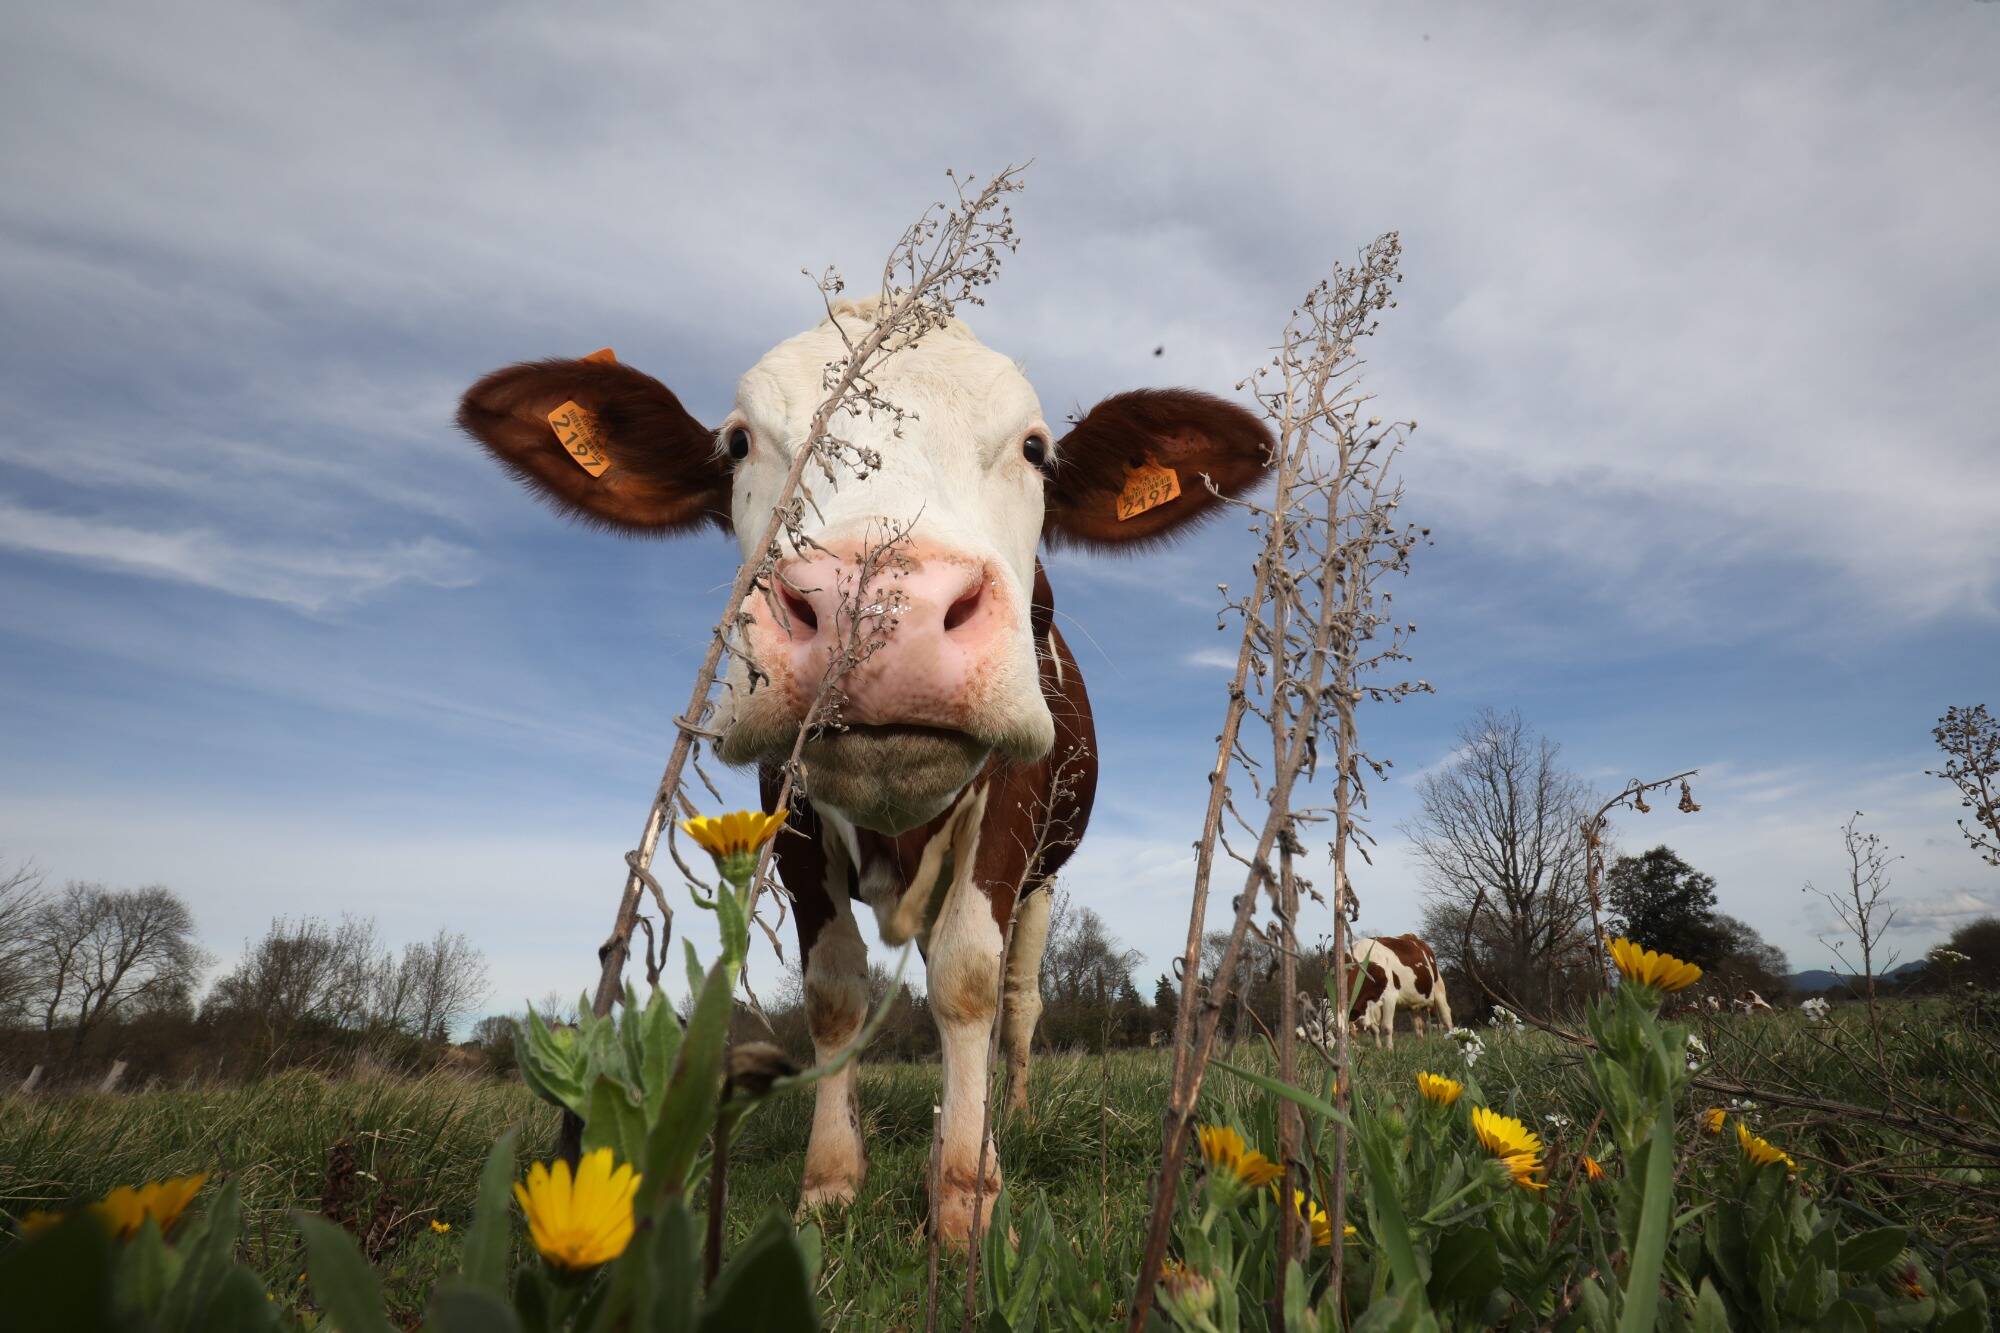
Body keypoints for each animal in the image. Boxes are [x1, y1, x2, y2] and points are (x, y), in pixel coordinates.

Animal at [457, 299, 1273, 1242]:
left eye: (1036, 448)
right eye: (739, 442)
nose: (883, 603)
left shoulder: (1009, 807)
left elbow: (968, 976)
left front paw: (966, 1190)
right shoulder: (787, 809)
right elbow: (836, 989)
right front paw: (833, 1178)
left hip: (1044, 879)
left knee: (1020, 996)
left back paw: (1012, 1111)